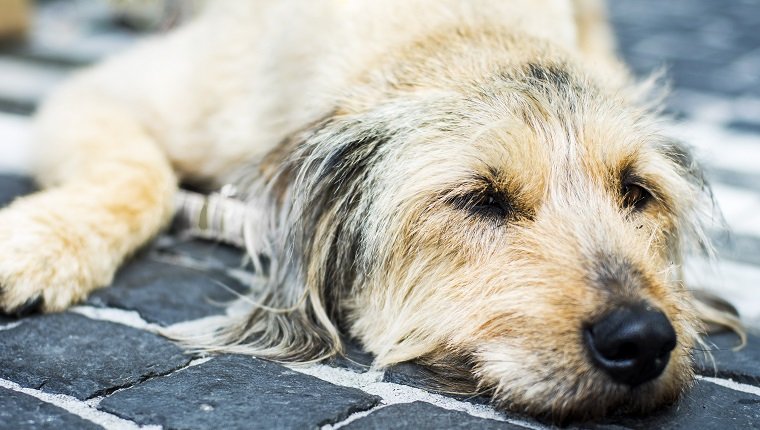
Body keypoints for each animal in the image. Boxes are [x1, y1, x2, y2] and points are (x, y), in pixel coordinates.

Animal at [0, 0, 744, 424]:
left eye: (637, 191)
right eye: (479, 198)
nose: (641, 339)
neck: (453, 29)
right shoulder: (106, 92)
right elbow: (143, 176)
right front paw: (34, 245)